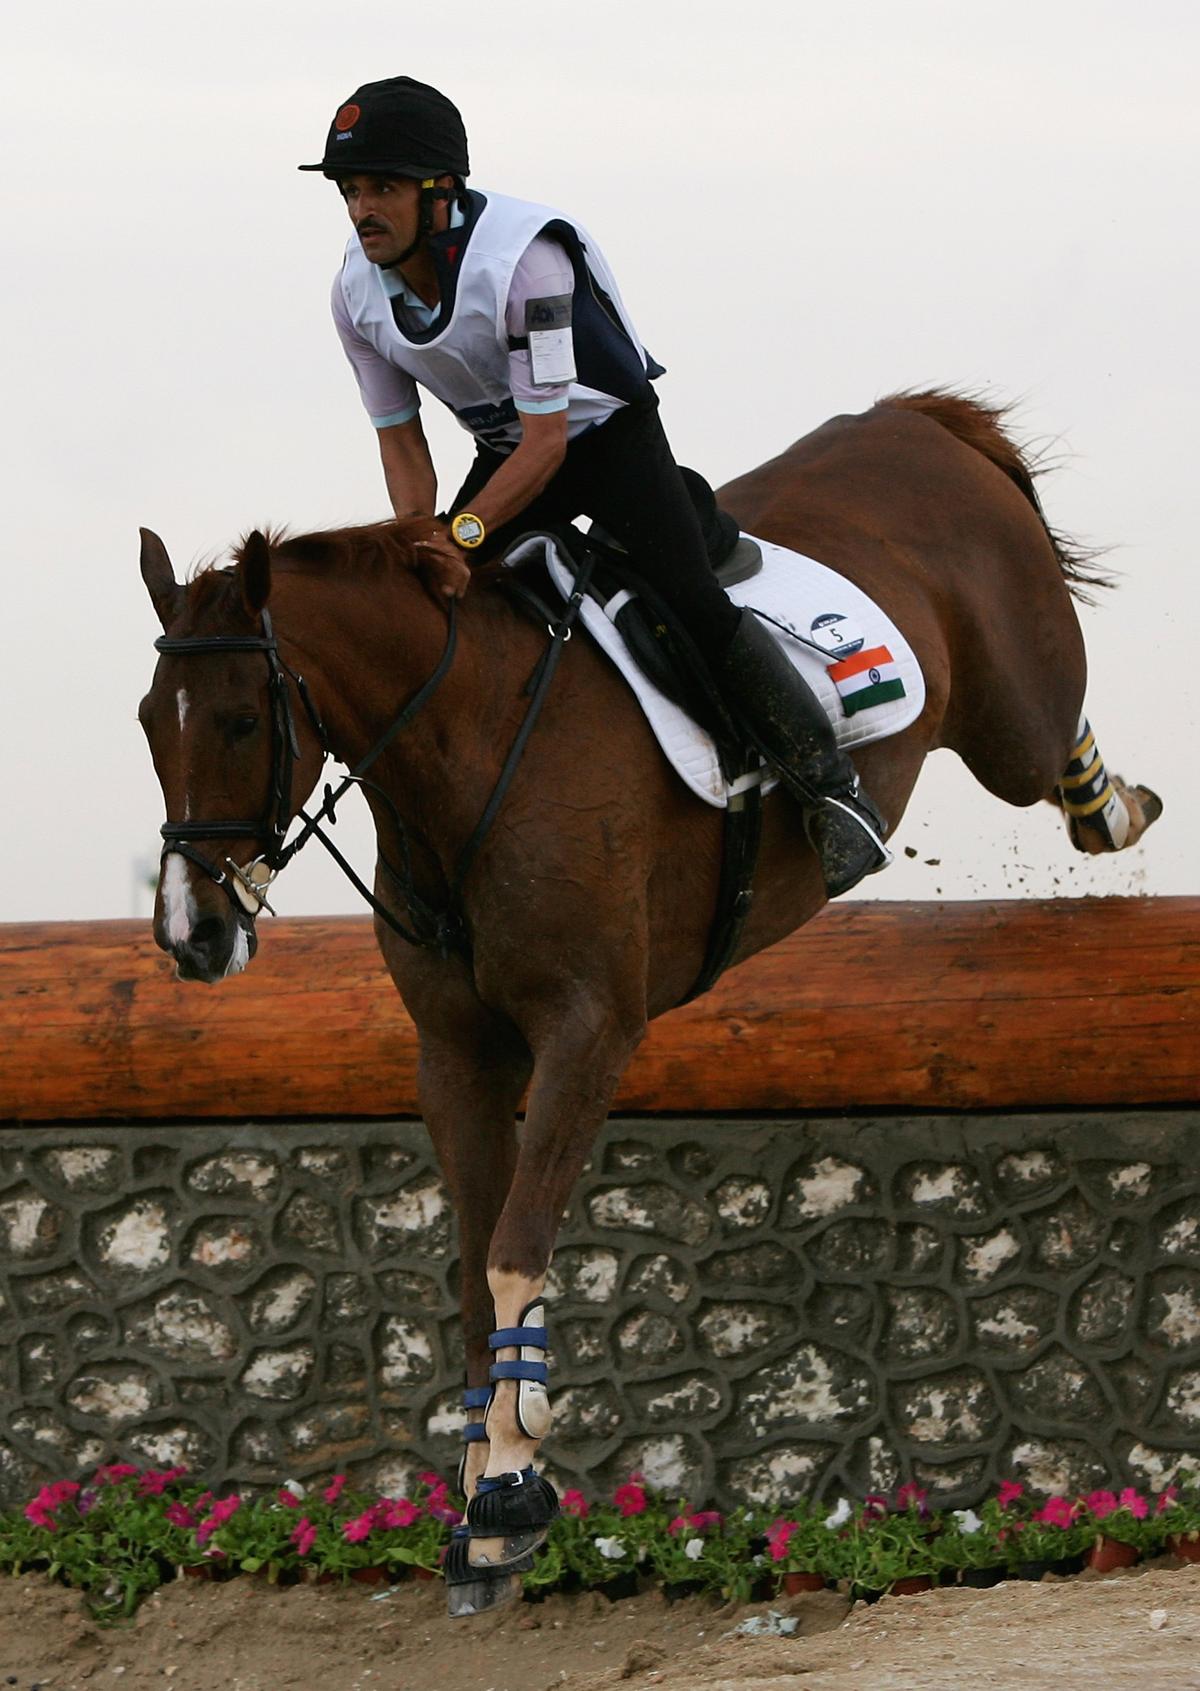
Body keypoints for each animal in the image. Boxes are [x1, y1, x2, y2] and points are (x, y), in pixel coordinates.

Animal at [141, 392, 1162, 1609]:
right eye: (150, 721)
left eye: (242, 721)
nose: (191, 935)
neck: (469, 749)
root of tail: (914, 422)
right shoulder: (457, 1053)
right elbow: (475, 1262)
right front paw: (480, 1486)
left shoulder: (591, 1028)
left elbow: (518, 1243)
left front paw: (509, 1488)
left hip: (1008, 714)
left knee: (1055, 742)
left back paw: (1116, 807)